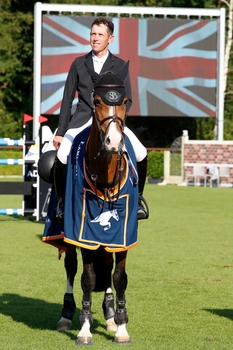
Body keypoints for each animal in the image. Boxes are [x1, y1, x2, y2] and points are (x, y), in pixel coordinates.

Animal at [42, 62, 138, 344]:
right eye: (96, 101)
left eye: (124, 101)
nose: (114, 142)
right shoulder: (82, 234)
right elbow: (87, 277)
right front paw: (84, 329)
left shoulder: (124, 234)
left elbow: (119, 278)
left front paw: (121, 327)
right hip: (68, 235)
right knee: (71, 268)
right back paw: (66, 315)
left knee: (106, 268)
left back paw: (109, 316)